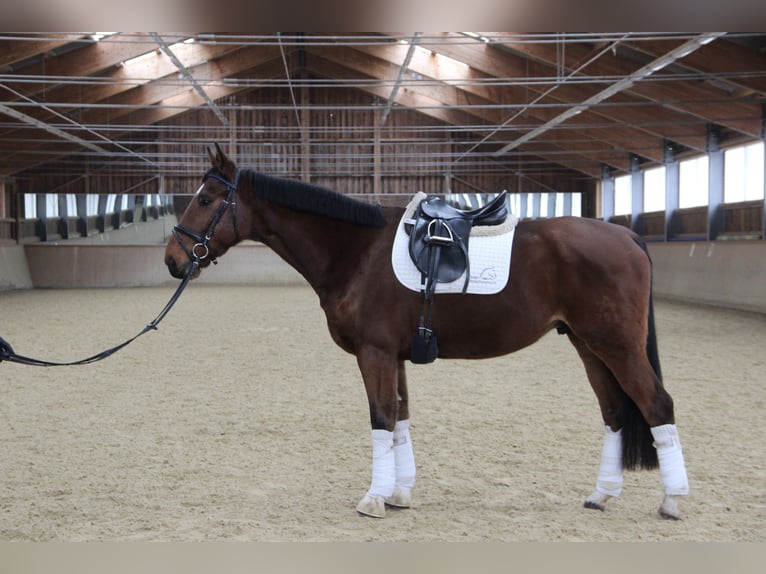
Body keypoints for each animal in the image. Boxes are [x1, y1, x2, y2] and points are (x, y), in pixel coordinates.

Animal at [165, 147, 692, 520]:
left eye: (206, 199)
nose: (173, 259)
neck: (358, 253)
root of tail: (626, 235)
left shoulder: (374, 353)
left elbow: (380, 418)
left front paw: (374, 499)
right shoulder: (394, 356)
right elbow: (400, 418)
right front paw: (399, 492)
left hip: (616, 346)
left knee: (657, 405)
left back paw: (672, 502)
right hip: (588, 345)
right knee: (615, 413)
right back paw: (602, 495)